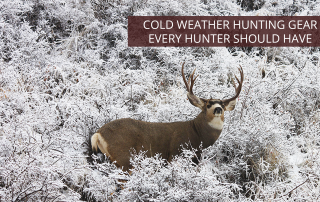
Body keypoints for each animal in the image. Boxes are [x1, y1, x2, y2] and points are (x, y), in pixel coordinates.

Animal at [91, 62, 244, 171]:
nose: (218, 109)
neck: (198, 135)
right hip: (124, 156)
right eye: (207, 104)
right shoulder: (175, 155)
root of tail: (97, 134)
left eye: (223, 105)